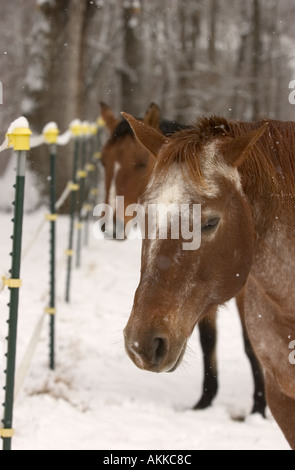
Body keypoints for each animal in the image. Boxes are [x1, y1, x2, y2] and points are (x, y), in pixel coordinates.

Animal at [100, 103, 268, 414]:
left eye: (140, 162)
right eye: (103, 161)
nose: (111, 225)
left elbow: (252, 344)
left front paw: (259, 408)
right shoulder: (202, 293)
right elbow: (207, 339)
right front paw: (205, 400)